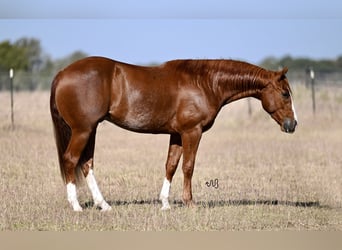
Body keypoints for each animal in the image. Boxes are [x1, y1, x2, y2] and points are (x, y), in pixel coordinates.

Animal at [50, 56, 296, 211]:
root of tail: (62, 73)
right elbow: (188, 166)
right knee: (71, 160)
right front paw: (190, 203)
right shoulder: (192, 132)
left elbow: (171, 165)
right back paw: (76, 206)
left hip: (90, 130)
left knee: (86, 164)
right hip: (82, 130)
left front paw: (165, 203)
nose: (292, 124)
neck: (205, 83)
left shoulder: (177, 135)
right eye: (285, 93)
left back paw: (104, 205)